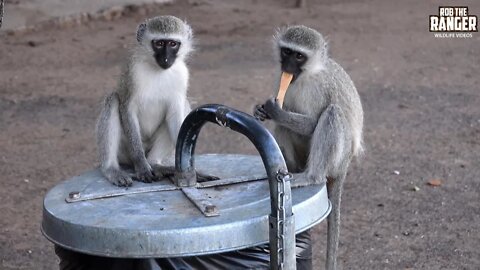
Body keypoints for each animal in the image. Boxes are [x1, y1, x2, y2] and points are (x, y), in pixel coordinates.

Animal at [95, 15, 193, 187]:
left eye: (173, 44)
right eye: (159, 43)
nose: (166, 58)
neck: (158, 70)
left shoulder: (182, 74)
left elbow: (175, 116)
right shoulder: (133, 73)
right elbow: (127, 109)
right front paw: (141, 166)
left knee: (184, 105)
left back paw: (155, 164)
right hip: (124, 151)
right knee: (113, 101)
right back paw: (111, 169)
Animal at [255, 25, 364, 270]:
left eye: (299, 56)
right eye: (286, 52)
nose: (287, 67)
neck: (305, 76)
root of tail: (345, 166)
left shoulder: (320, 88)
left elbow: (313, 123)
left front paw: (276, 111)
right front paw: (260, 110)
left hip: (338, 156)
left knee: (332, 113)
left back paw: (311, 176)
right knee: (282, 128)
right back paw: (290, 169)